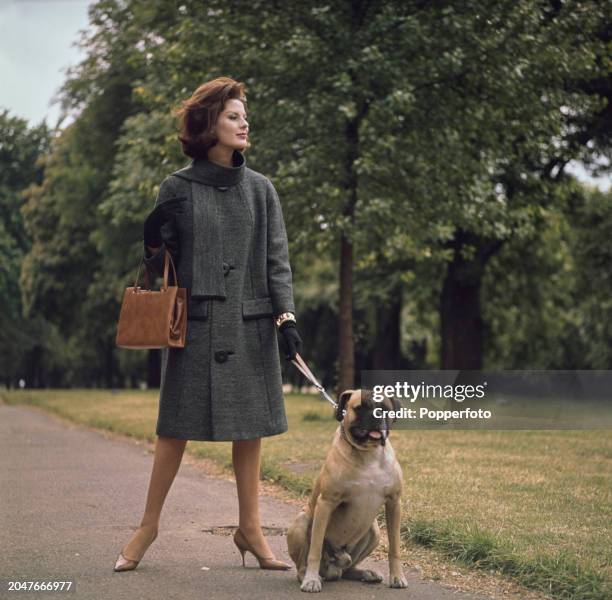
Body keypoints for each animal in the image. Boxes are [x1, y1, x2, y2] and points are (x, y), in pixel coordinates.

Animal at [286, 390, 406, 592]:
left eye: (385, 409)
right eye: (360, 408)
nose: (376, 416)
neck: (369, 454)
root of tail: (333, 568)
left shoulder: (394, 503)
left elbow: (395, 547)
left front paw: (397, 576)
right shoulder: (326, 503)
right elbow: (315, 549)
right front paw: (311, 580)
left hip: (374, 531)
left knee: (348, 568)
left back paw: (364, 573)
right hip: (301, 522)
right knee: (303, 563)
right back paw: (308, 576)